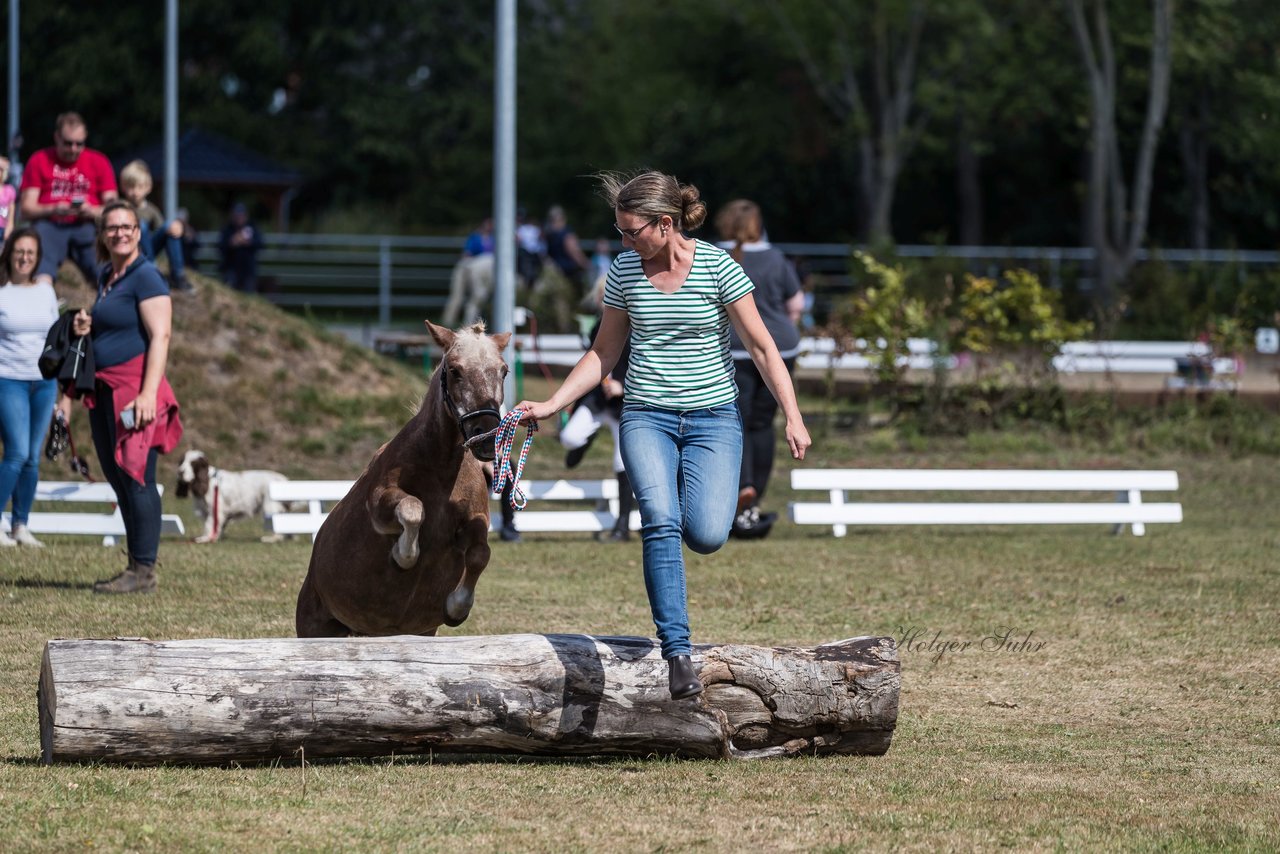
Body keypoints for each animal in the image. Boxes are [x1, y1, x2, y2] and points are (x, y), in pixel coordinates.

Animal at [296, 323, 512, 637]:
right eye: (455, 370)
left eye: (503, 371)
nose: (486, 435)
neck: (441, 468)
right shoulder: (379, 503)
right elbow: (412, 509)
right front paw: (403, 555)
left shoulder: (475, 519)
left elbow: (480, 552)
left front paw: (457, 607)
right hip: (314, 626)